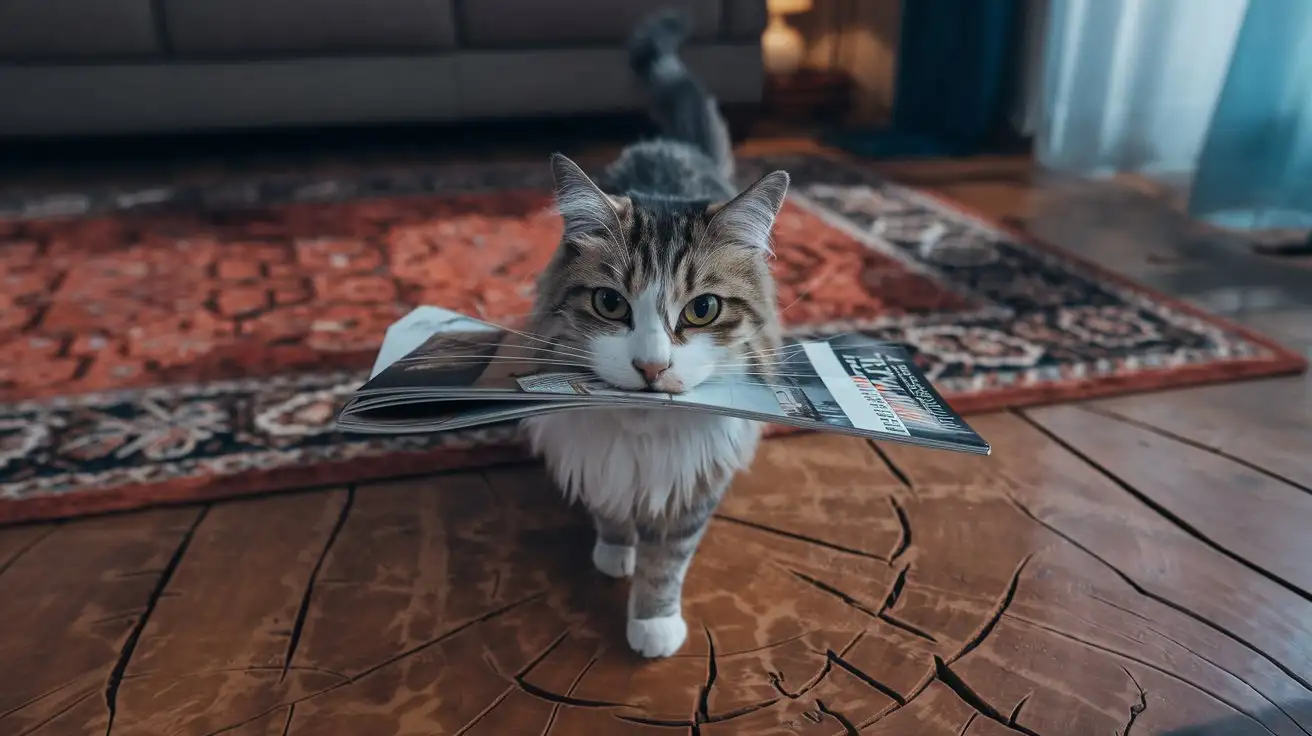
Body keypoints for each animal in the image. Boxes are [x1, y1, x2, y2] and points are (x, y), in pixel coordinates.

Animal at [519, 10, 787, 653]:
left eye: (703, 309)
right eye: (610, 303)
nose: (651, 367)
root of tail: (672, 146)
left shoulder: (696, 481)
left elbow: (668, 559)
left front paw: (653, 623)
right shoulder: (598, 459)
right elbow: (612, 508)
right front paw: (616, 553)